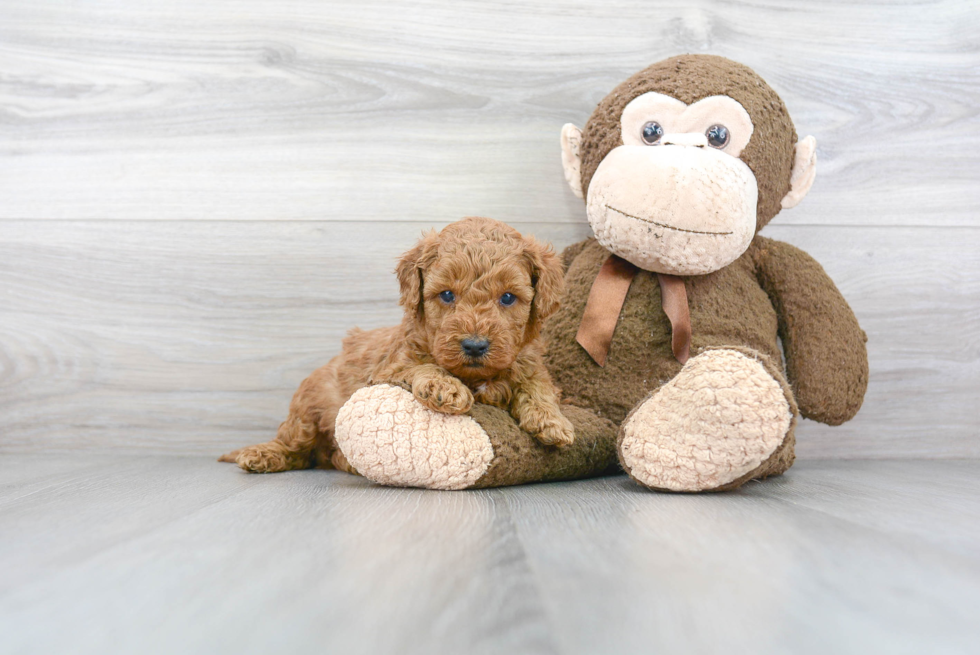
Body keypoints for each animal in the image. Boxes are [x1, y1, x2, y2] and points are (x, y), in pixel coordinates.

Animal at [220, 218, 576, 474]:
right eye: (447, 295)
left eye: (508, 298)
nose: (475, 346)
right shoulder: (387, 369)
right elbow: (421, 365)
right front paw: (444, 387)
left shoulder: (526, 362)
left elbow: (538, 384)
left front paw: (552, 421)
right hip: (307, 407)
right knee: (294, 445)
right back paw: (262, 454)